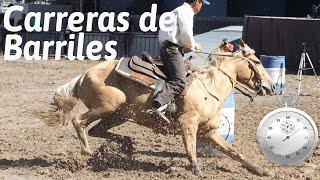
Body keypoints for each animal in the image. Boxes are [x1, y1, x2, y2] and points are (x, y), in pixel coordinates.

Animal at [46, 40, 276, 176]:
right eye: (257, 61)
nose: (272, 86)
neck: (209, 87)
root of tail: (83, 76)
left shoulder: (207, 132)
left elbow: (234, 152)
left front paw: (260, 170)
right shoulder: (187, 124)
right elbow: (190, 149)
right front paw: (196, 170)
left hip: (120, 114)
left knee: (96, 130)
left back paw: (127, 145)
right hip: (110, 105)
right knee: (79, 122)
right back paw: (86, 154)